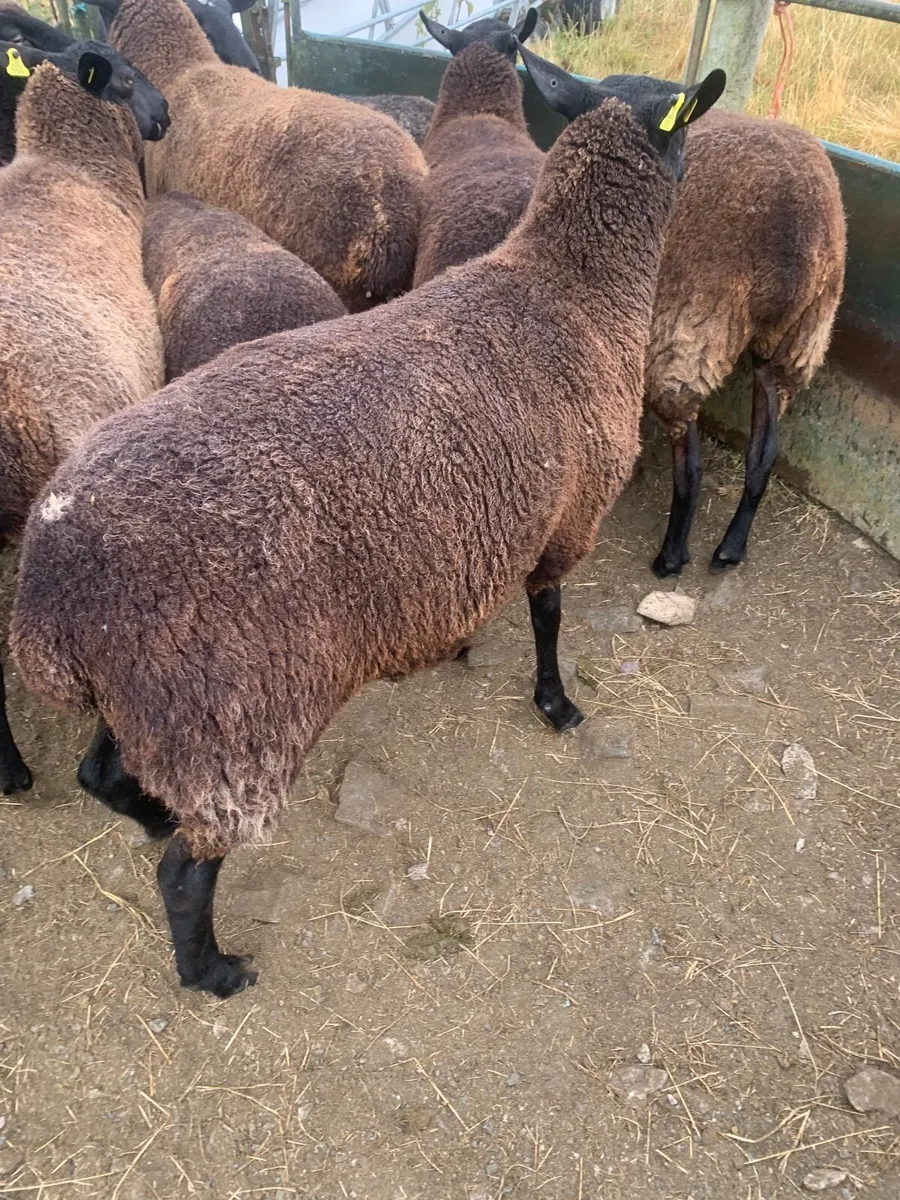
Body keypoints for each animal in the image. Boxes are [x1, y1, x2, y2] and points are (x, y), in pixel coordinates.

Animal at [522, 49, 846, 577]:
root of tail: (791, 222)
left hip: (690, 332)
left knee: (691, 464)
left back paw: (672, 555)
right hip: (799, 337)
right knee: (764, 452)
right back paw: (732, 546)